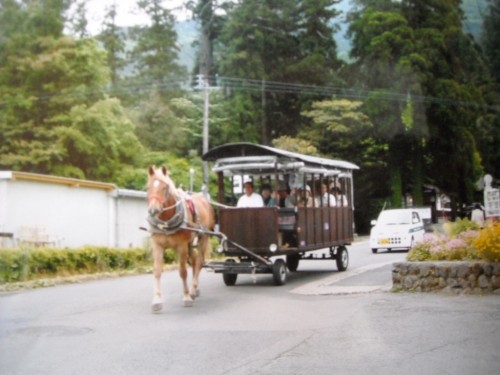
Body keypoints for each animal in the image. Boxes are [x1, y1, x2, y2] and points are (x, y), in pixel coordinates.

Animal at [145, 167, 215, 312]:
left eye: (165, 187)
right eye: (149, 187)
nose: (153, 210)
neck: (166, 222)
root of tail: (203, 199)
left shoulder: (181, 246)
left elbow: (183, 272)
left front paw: (187, 297)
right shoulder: (157, 245)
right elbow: (157, 271)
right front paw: (157, 300)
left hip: (203, 237)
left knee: (199, 262)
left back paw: (193, 289)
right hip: (191, 242)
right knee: (194, 260)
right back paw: (195, 288)